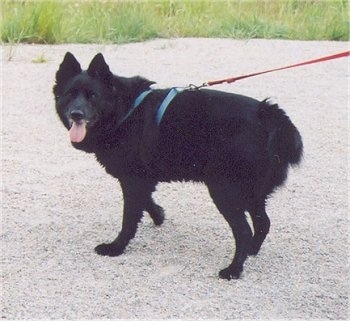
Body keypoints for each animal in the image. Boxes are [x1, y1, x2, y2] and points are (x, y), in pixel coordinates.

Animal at [53, 52, 302, 278]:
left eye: (93, 96)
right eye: (69, 95)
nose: (76, 114)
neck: (124, 110)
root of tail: (268, 114)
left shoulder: (132, 180)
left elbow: (129, 218)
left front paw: (116, 247)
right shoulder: (140, 179)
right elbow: (146, 202)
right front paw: (159, 216)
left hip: (225, 192)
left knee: (243, 231)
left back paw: (233, 270)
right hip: (251, 193)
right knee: (263, 224)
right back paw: (250, 252)